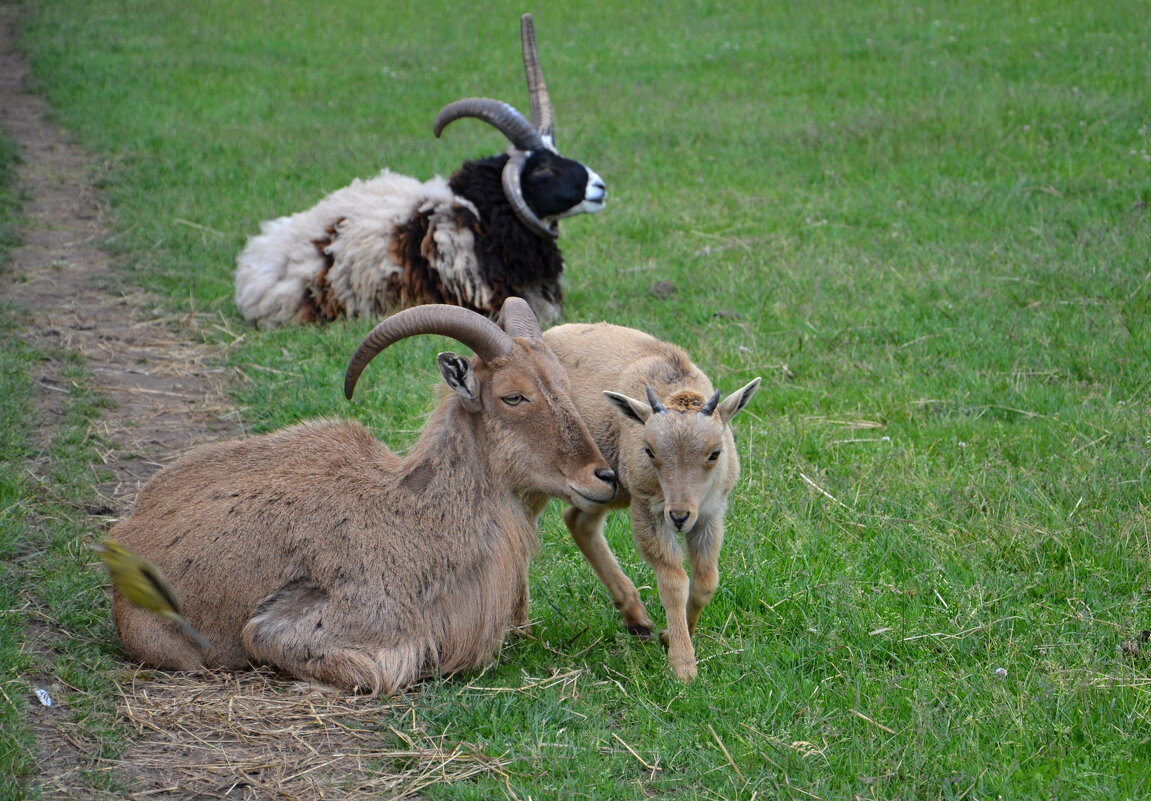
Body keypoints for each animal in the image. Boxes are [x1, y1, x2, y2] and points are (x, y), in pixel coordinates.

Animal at [105, 299, 621, 695]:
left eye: (563, 383)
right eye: (513, 396)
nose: (604, 477)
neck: (417, 516)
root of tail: (127, 536)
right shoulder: (301, 623)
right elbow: (377, 668)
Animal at [540, 319, 759, 681]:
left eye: (714, 453)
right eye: (649, 450)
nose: (680, 516)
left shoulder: (711, 513)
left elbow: (705, 580)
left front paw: (671, 635)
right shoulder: (648, 509)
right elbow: (673, 579)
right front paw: (683, 664)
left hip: (608, 489)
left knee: (579, 521)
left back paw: (637, 620)